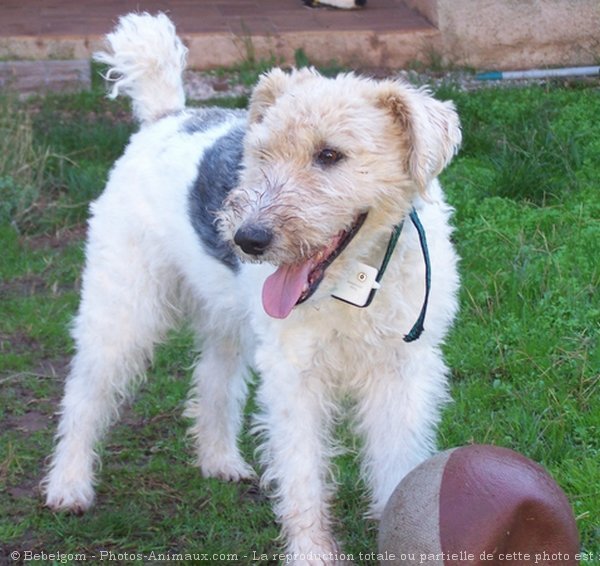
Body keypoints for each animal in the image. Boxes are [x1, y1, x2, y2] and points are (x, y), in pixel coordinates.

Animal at [43, 14, 460, 566]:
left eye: (330, 154)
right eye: (262, 154)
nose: (248, 240)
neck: (355, 281)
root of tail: (165, 116)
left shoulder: (402, 370)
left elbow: (397, 461)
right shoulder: (294, 374)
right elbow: (303, 476)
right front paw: (312, 553)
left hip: (227, 317)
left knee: (213, 382)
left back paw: (220, 460)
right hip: (123, 307)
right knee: (84, 395)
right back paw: (68, 487)